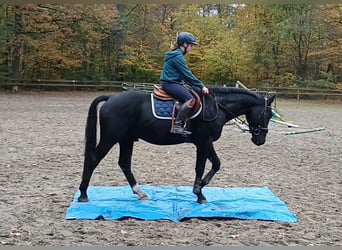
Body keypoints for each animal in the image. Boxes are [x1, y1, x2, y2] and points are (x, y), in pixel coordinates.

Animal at [77, 87, 276, 204]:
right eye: (266, 114)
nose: (260, 139)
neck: (216, 107)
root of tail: (111, 98)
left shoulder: (205, 143)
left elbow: (213, 164)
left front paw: (200, 188)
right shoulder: (204, 142)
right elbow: (204, 166)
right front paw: (199, 192)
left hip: (126, 140)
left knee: (124, 163)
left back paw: (140, 193)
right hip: (110, 138)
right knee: (94, 160)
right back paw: (83, 194)